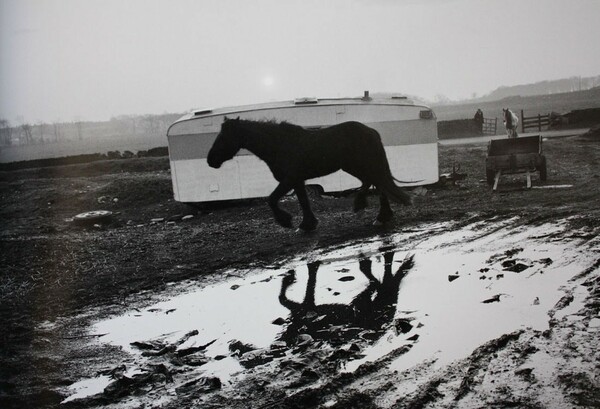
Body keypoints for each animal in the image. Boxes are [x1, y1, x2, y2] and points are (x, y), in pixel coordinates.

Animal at [207, 117, 412, 230]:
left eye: (223, 137)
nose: (210, 160)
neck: (279, 145)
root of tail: (371, 131)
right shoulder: (297, 181)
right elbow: (303, 202)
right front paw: (307, 225)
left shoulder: (289, 179)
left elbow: (272, 199)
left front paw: (286, 221)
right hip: (353, 166)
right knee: (375, 183)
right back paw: (380, 215)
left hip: (360, 165)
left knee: (374, 183)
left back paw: (370, 211)